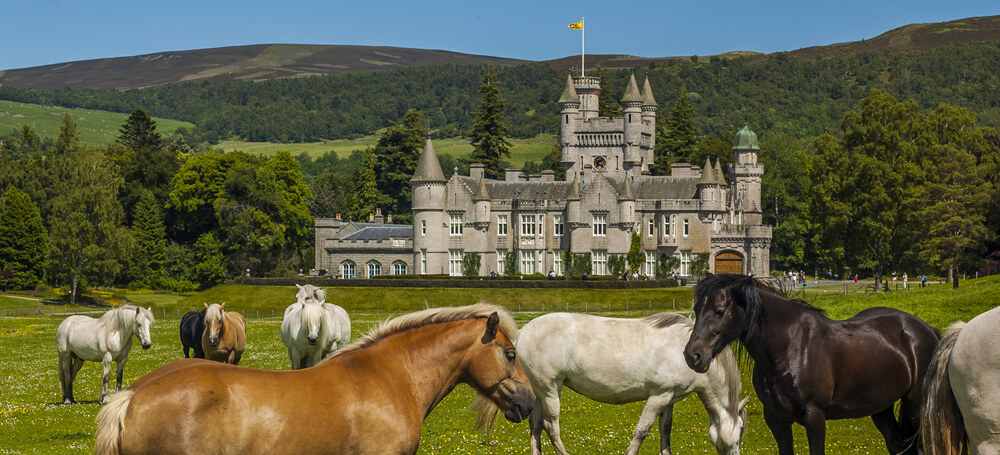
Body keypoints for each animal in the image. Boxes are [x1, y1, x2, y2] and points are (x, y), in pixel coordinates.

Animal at [520, 314, 748, 455]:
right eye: (740, 430)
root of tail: (524, 331)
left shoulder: (669, 399)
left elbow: (665, 431)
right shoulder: (658, 396)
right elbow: (641, 431)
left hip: (541, 391)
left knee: (535, 424)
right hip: (551, 390)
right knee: (551, 427)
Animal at [684, 274, 940, 455]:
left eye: (719, 311)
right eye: (697, 309)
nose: (692, 355)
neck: (790, 346)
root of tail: (927, 330)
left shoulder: (814, 417)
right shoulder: (776, 420)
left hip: (915, 406)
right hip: (881, 409)